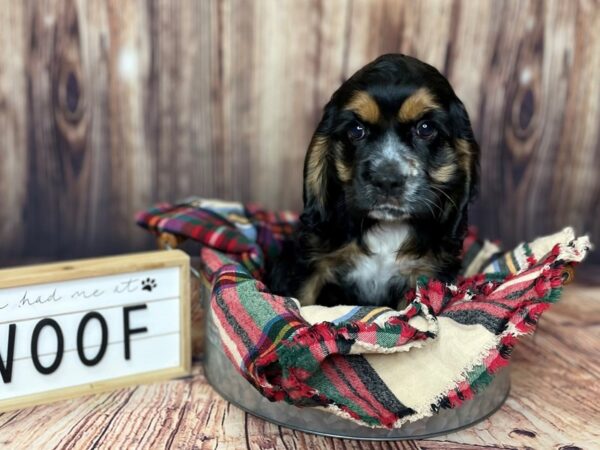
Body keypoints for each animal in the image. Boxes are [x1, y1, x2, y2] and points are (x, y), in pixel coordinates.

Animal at [268, 53, 478, 310]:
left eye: (426, 128)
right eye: (356, 130)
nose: (386, 180)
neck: (387, 229)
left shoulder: (426, 273)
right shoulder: (310, 261)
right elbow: (302, 300)